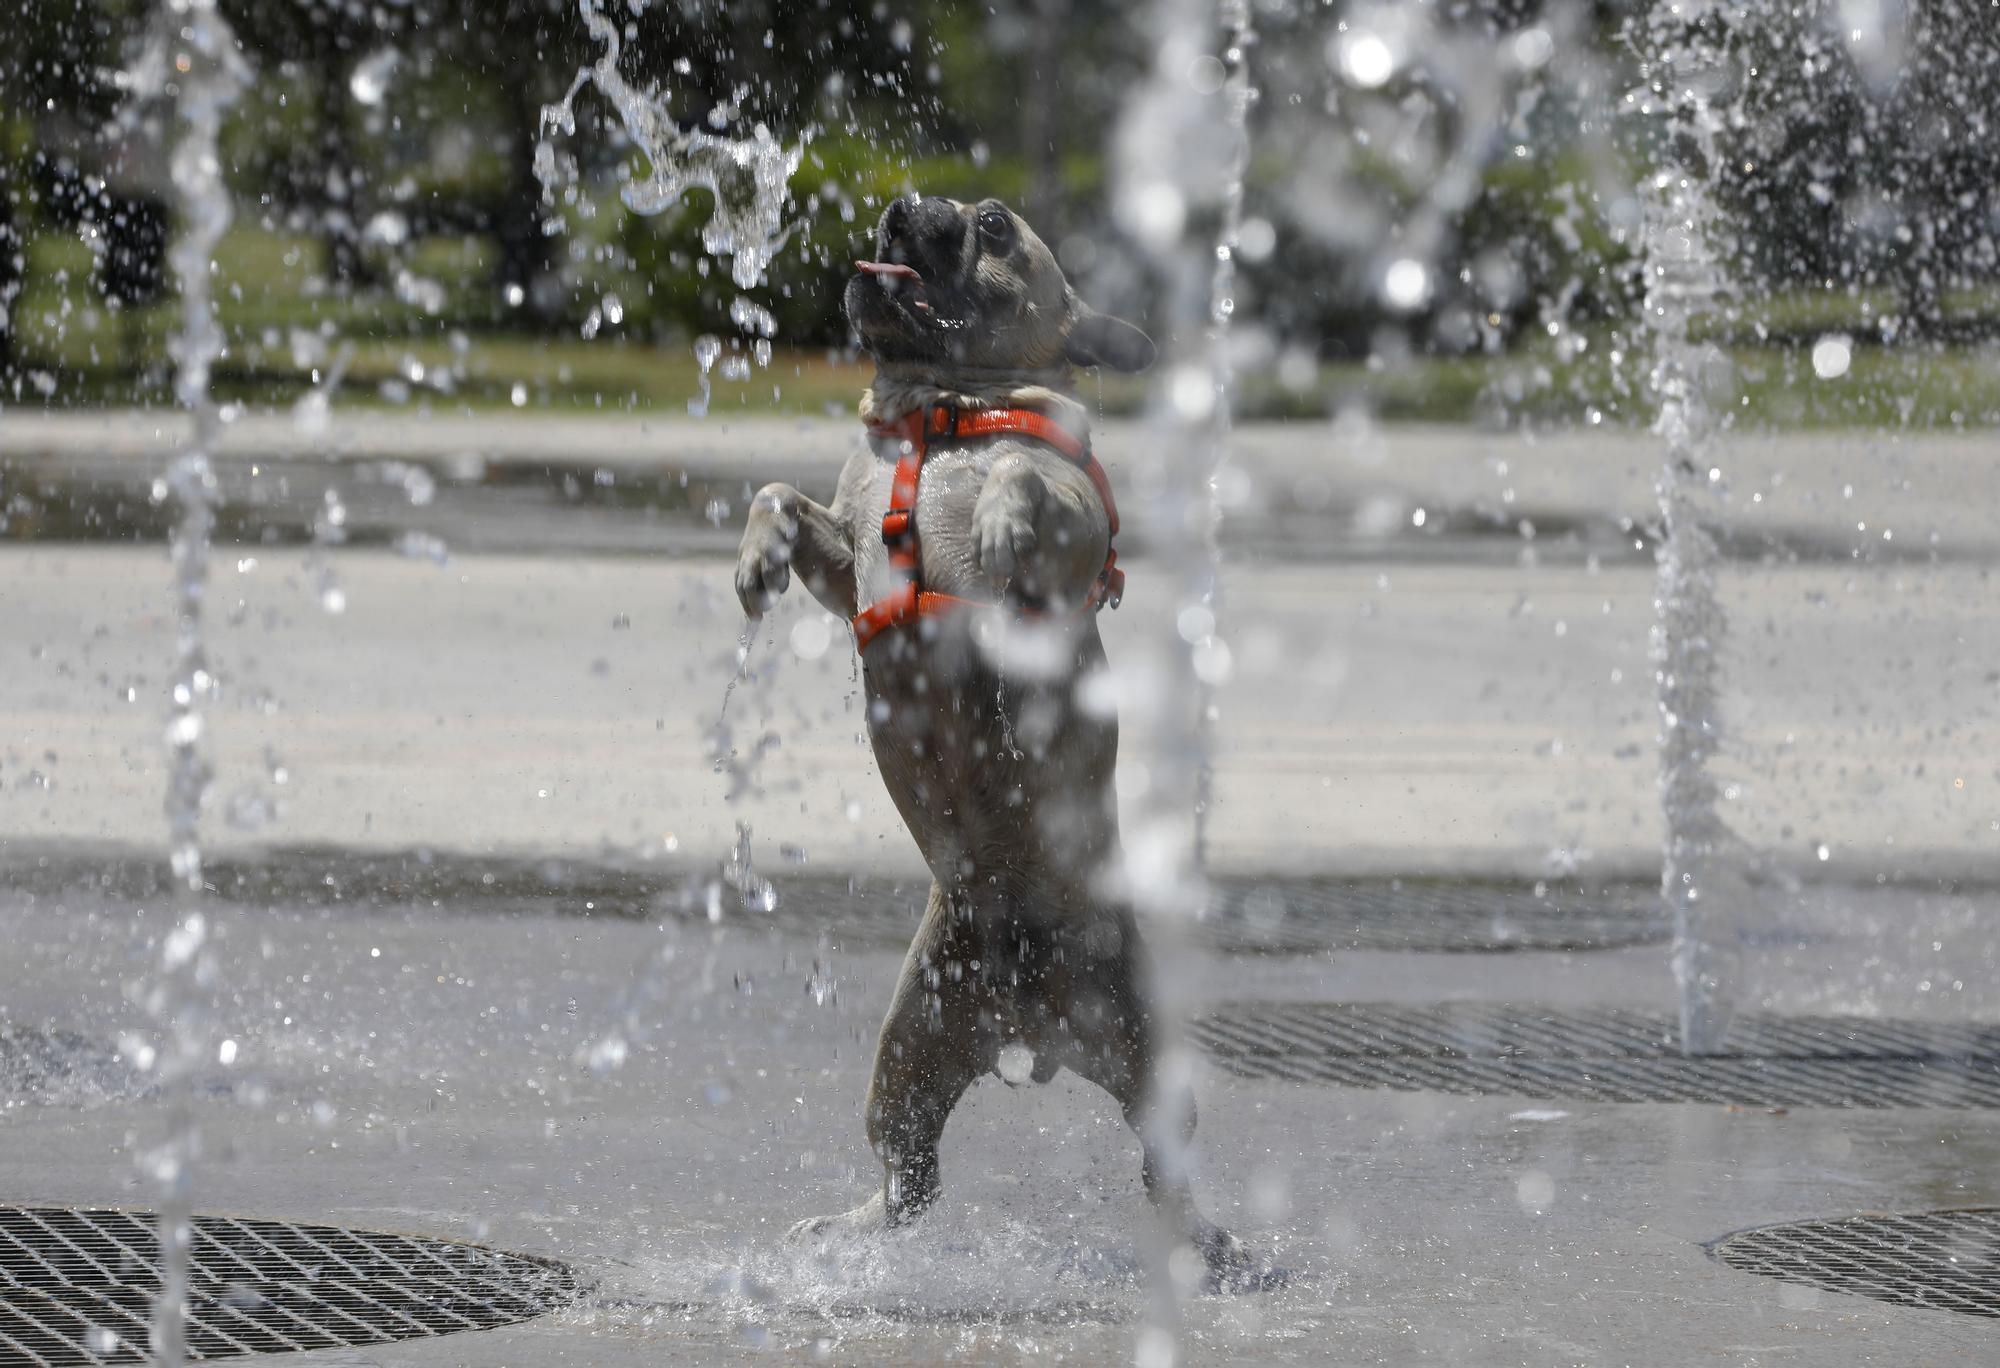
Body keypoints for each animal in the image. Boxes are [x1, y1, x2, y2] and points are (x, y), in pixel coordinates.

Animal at [736, 195, 1248, 1296]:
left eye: (996, 225)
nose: (900, 207)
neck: (944, 409)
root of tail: (1031, 1029)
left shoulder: (1074, 537)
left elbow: (1023, 472)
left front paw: (1004, 515)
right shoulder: (844, 562)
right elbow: (777, 496)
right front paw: (754, 555)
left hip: (1146, 1054)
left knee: (1166, 1166)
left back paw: (1207, 1247)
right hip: (909, 1051)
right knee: (909, 1178)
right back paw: (846, 1233)